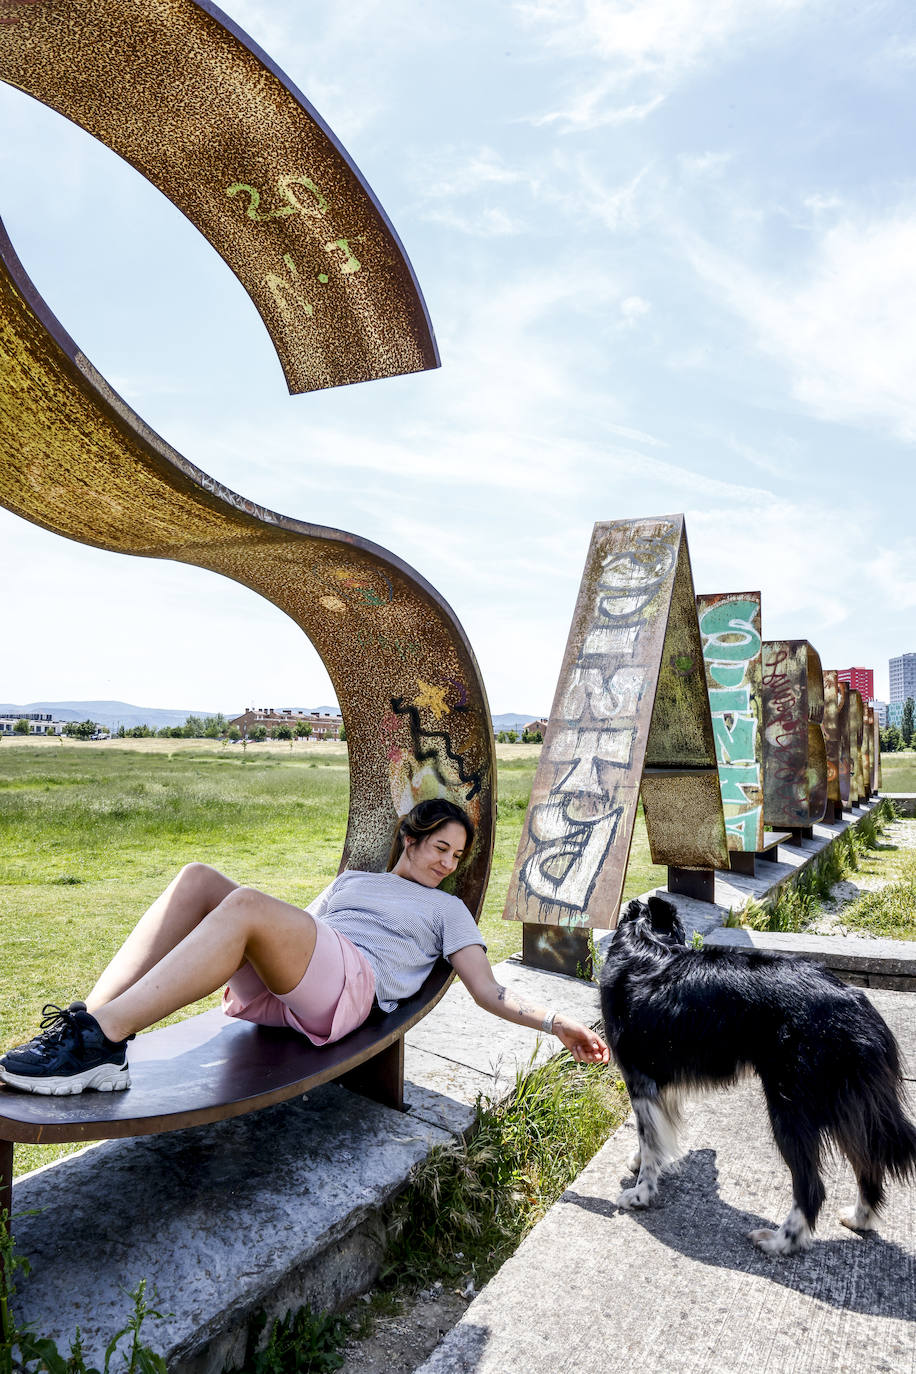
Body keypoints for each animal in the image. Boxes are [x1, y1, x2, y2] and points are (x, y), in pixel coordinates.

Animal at [601, 890, 916, 1258]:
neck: (645, 941)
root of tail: (854, 1001)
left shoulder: (639, 1080)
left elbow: (649, 1139)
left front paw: (640, 1194)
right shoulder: (659, 1085)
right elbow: (651, 1134)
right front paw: (638, 1162)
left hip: (790, 1108)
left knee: (812, 1186)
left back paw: (780, 1241)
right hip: (848, 1109)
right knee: (868, 1163)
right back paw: (858, 1219)